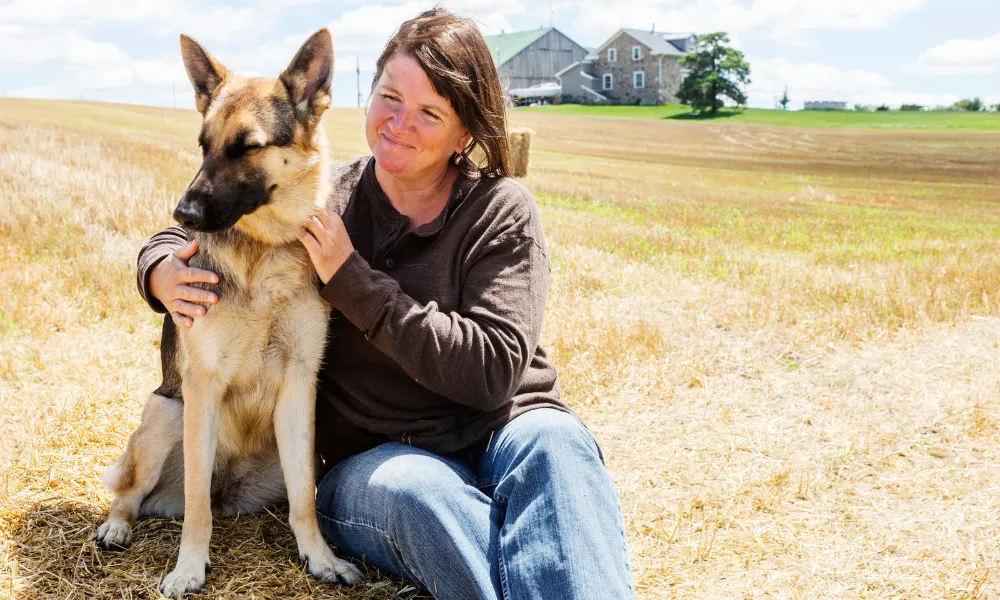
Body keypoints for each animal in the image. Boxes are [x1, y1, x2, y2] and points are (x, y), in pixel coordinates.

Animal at [94, 30, 366, 596]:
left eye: (248, 147)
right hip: (167, 412)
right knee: (136, 494)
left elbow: (305, 501)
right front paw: (189, 569)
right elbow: (197, 507)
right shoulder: (203, 385)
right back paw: (116, 526)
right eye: (204, 145)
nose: (182, 215)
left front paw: (321, 559)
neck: (265, 250)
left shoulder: (299, 385)